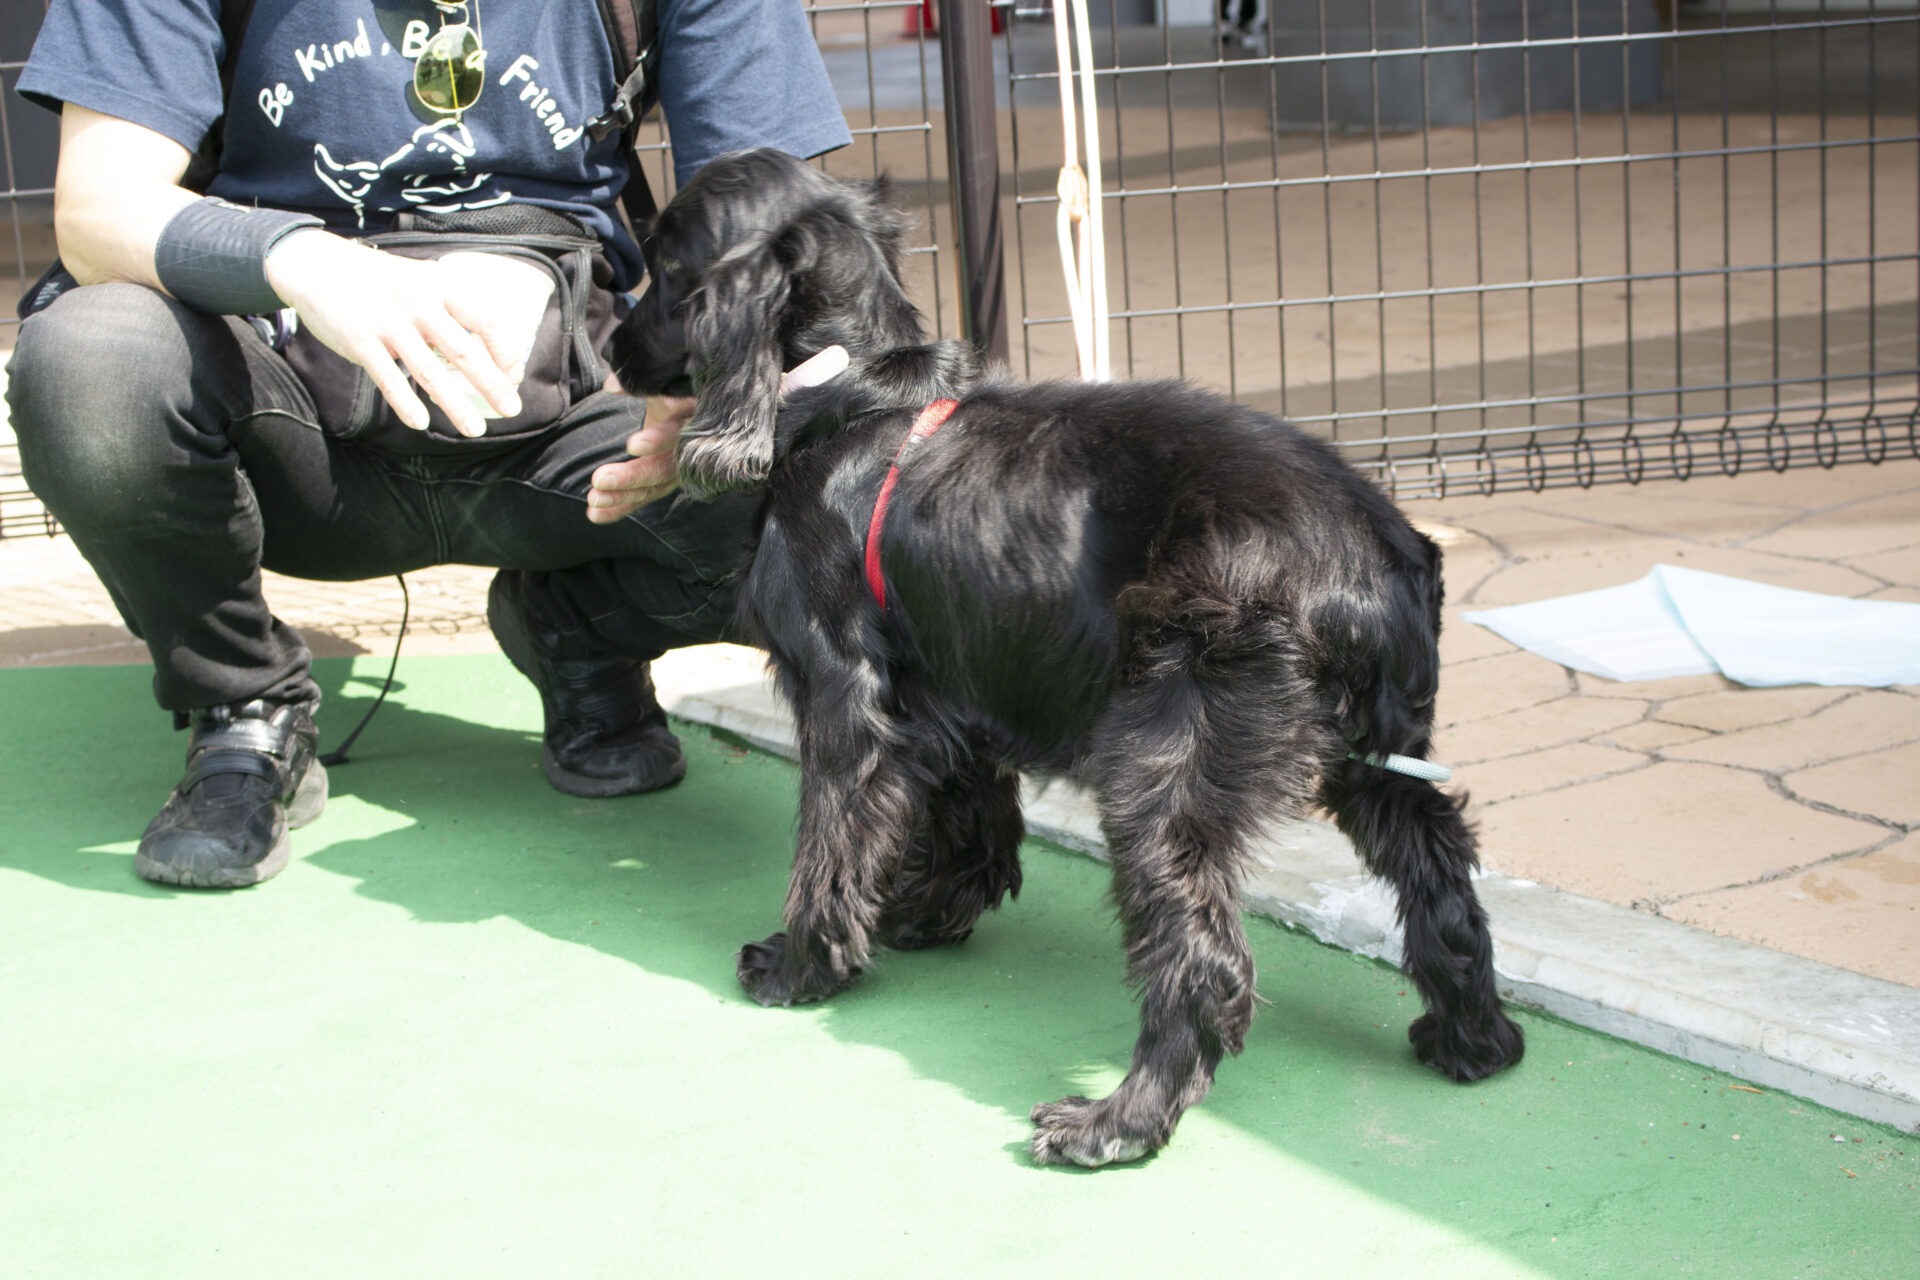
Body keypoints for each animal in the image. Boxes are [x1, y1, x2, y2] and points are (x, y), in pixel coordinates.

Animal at [615, 148, 1525, 1167]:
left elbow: (831, 843)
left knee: (1202, 960)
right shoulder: (945, 693)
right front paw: (918, 917)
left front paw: (802, 962)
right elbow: (964, 820)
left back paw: (1116, 1123)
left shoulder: (846, 700)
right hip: (1382, 766)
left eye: (666, 265)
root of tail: (1373, 558)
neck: (849, 397)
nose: (608, 346)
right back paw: (1471, 1041)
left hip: (1165, 766)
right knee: (1444, 882)